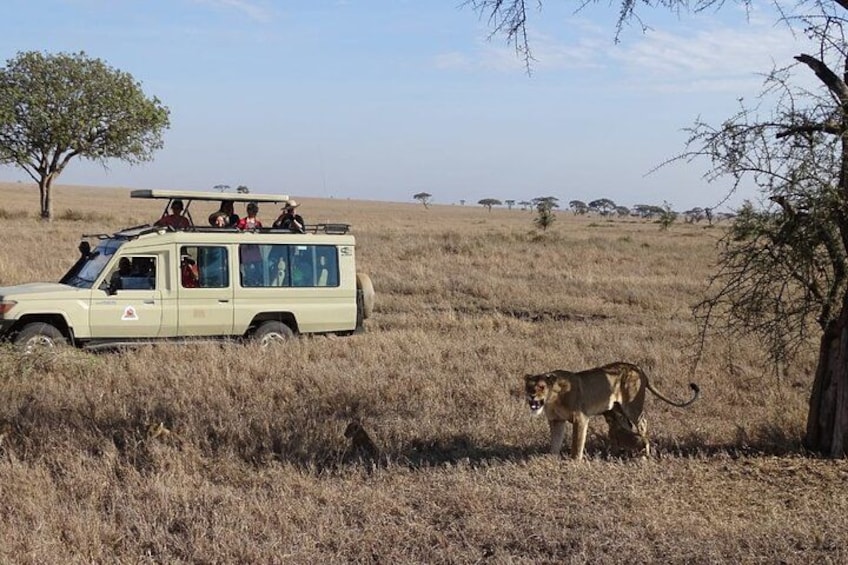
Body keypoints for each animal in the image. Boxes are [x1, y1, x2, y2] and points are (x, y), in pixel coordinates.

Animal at [524, 362, 700, 460]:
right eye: (528, 387)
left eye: (541, 387)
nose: (531, 395)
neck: (552, 399)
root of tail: (638, 368)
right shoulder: (556, 421)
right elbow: (555, 442)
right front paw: (551, 459)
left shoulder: (581, 418)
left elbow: (576, 443)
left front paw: (574, 462)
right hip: (618, 409)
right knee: (625, 428)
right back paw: (624, 452)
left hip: (632, 406)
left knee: (643, 424)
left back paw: (645, 454)